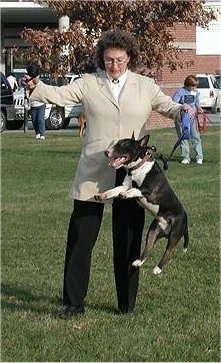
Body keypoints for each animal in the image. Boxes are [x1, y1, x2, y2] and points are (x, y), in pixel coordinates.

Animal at [94, 135, 189, 274]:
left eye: (125, 144)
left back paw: (158, 269)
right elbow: (113, 191)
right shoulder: (124, 186)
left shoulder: (149, 189)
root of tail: (186, 221)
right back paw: (138, 262)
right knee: (148, 248)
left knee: (168, 252)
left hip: (174, 234)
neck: (138, 167)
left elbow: (136, 189)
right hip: (153, 231)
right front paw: (101, 195)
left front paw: (126, 194)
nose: (106, 152)